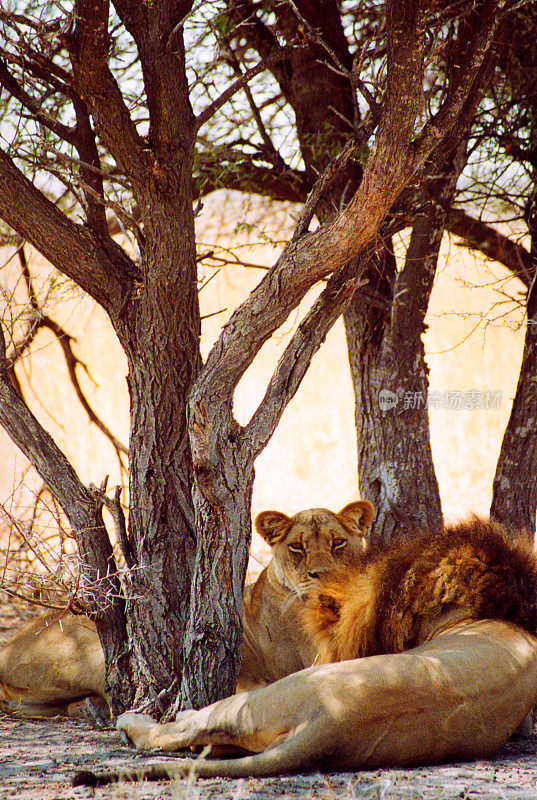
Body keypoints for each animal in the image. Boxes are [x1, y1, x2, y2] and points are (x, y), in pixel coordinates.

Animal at [0, 500, 372, 720]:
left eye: (338, 542)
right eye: (297, 547)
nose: (323, 574)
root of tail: (9, 643)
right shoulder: (316, 658)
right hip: (94, 646)